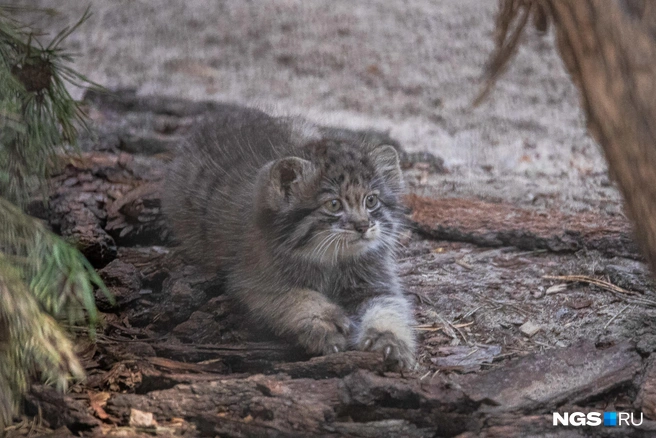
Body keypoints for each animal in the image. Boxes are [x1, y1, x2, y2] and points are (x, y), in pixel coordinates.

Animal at [167, 106, 418, 370]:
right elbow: (296, 297)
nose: (363, 226)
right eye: (334, 204)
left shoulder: (376, 282)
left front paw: (389, 341)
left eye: (371, 201)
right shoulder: (254, 281)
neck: (331, 261)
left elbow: (389, 308)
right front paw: (324, 321)